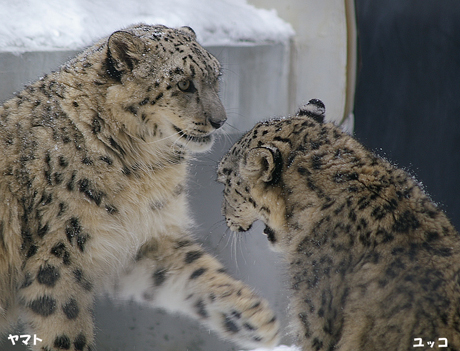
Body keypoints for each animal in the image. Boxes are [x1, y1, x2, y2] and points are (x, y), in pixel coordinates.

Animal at [0, 23, 280, 350]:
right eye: (184, 83)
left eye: (216, 78)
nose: (219, 120)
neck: (143, 172)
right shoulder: (59, 255)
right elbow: (64, 323)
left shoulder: (138, 238)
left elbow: (192, 268)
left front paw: (255, 317)